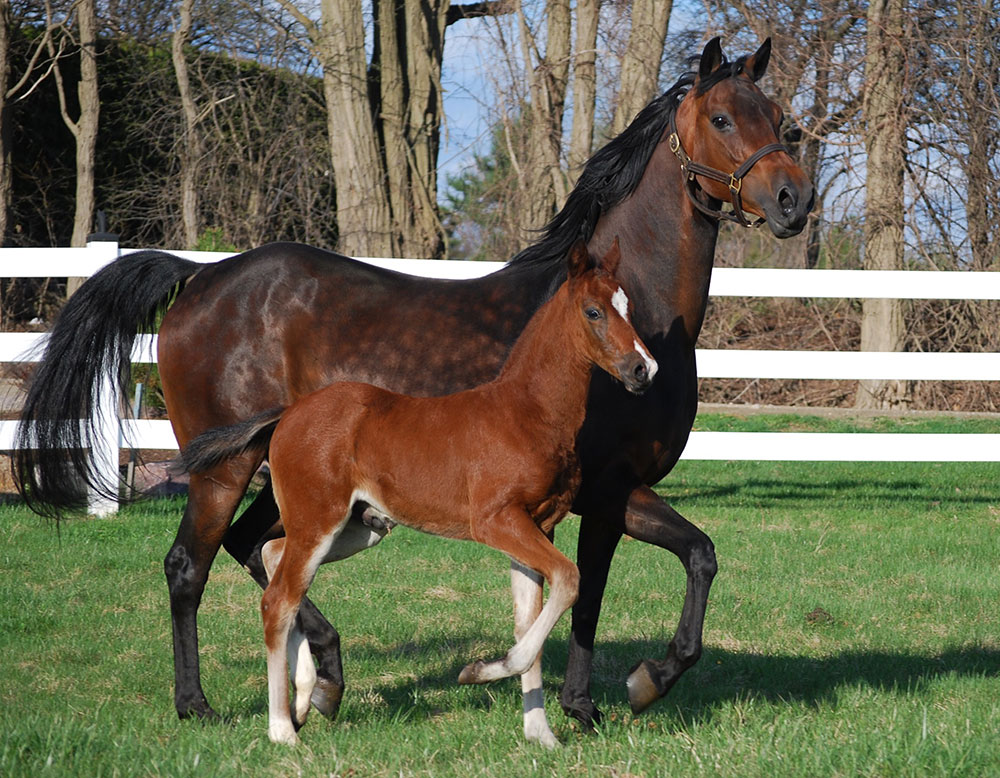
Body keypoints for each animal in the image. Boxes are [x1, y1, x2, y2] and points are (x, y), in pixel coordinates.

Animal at [178, 239, 656, 746]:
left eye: (629, 307)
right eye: (593, 311)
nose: (643, 369)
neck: (527, 412)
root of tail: (287, 414)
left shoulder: (536, 528)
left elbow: (530, 622)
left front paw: (540, 735)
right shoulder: (496, 522)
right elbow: (570, 580)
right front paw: (480, 671)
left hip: (357, 527)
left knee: (272, 556)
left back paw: (306, 695)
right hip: (318, 521)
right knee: (277, 601)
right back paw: (282, 728)